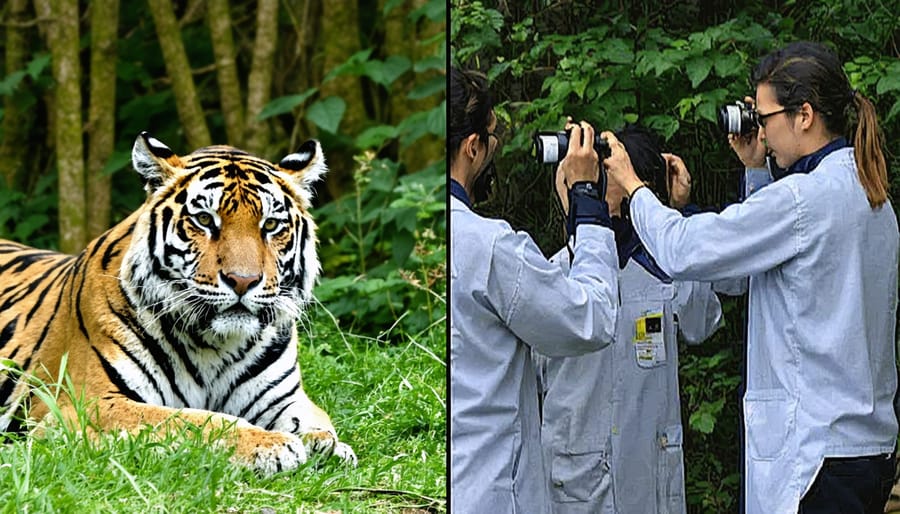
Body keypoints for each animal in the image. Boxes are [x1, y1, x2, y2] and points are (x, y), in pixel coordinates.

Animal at [0, 132, 356, 472]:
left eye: (270, 224)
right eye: (204, 220)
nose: (243, 280)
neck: (215, 345)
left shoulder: (284, 398)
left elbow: (317, 422)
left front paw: (328, 446)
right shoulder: (88, 403)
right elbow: (192, 419)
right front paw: (271, 445)